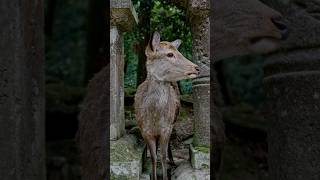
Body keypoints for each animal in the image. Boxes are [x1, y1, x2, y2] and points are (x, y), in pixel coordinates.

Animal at [134, 31, 199, 179]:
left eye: (179, 52)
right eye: (170, 54)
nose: (196, 68)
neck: (154, 119)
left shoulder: (166, 128)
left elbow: (162, 156)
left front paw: (165, 175)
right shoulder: (145, 131)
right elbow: (153, 157)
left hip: (173, 121)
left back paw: (173, 161)